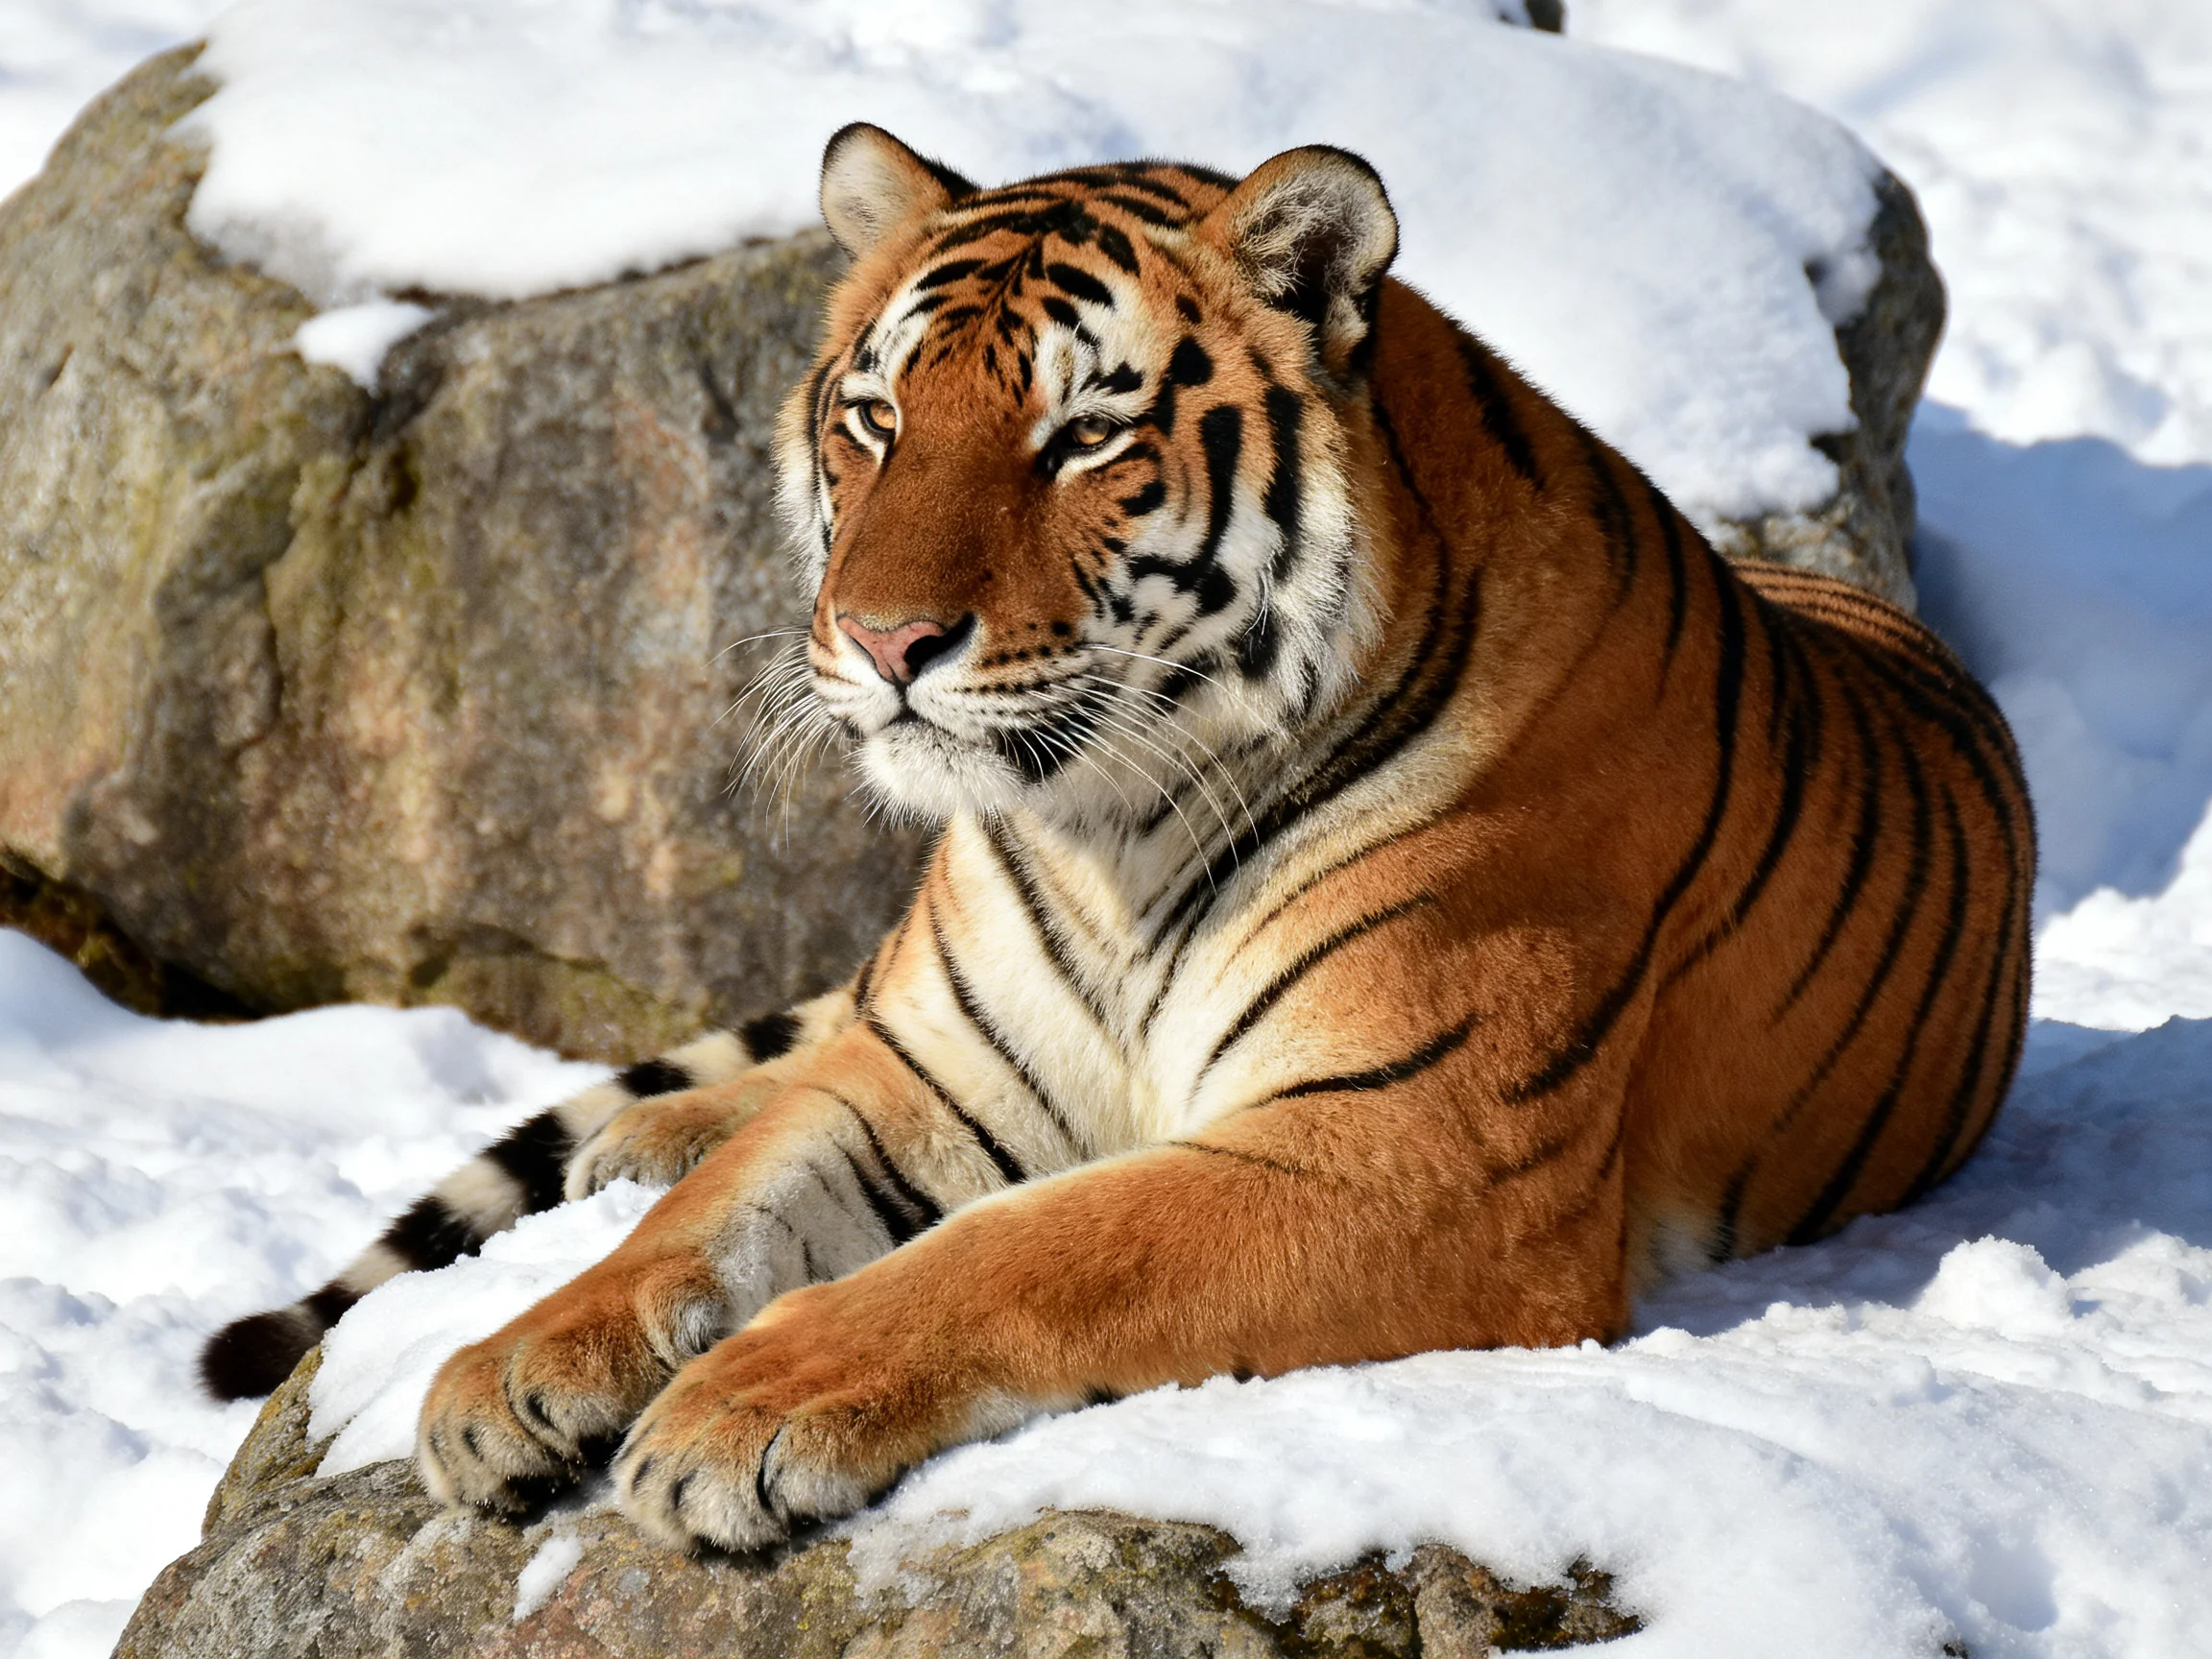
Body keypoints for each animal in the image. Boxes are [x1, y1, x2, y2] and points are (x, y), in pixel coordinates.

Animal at [200, 125, 2034, 1554]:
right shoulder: (930, 1070)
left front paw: (743, 1408)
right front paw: (511, 1368)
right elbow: (725, 1204)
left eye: (1083, 434)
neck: (1112, 825)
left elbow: (1040, 1246)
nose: (882, 639)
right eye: (875, 419)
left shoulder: (1415, 1147)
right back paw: (637, 1138)